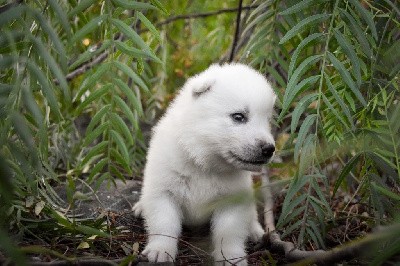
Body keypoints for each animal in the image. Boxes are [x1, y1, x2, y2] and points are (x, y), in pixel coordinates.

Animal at [133, 63, 276, 264]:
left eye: (267, 120)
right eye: (238, 117)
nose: (269, 149)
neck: (204, 163)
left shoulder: (232, 200)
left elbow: (228, 232)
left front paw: (230, 257)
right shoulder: (163, 191)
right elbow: (164, 224)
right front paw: (161, 250)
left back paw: (255, 231)